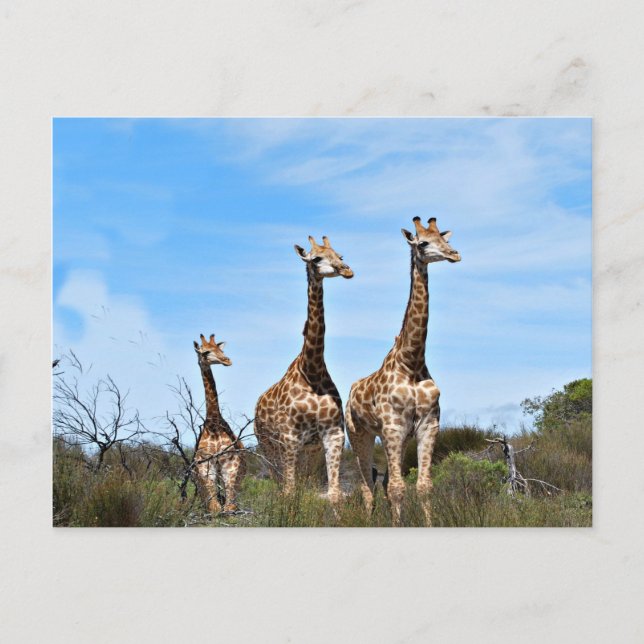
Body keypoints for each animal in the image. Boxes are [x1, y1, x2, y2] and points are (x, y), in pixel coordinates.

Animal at [193, 333, 247, 514]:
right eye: (206, 352)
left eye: (220, 349)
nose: (227, 360)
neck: (214, 425)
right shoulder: (204, 463)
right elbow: (214, 507)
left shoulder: (229, 463)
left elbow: (229, 507)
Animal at [254, 235, 353, 504]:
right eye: (316, 258)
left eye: (339, 255)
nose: (346, 270)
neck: (312, 369)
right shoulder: (290, 437)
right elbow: (289, 493)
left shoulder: (333, 434)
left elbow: (334, 494)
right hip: (267, 446)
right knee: (281, 485)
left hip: (309, 450)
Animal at [345, 217, 460, 526]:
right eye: (423, 243)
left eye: (444, 238)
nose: (454, 254)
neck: (412, 362)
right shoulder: (393, 425)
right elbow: (398, 488)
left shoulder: (428, 424)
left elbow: (423, 486)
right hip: (359, 433)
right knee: (367, 485)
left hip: (396, 437)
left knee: (382, 483)